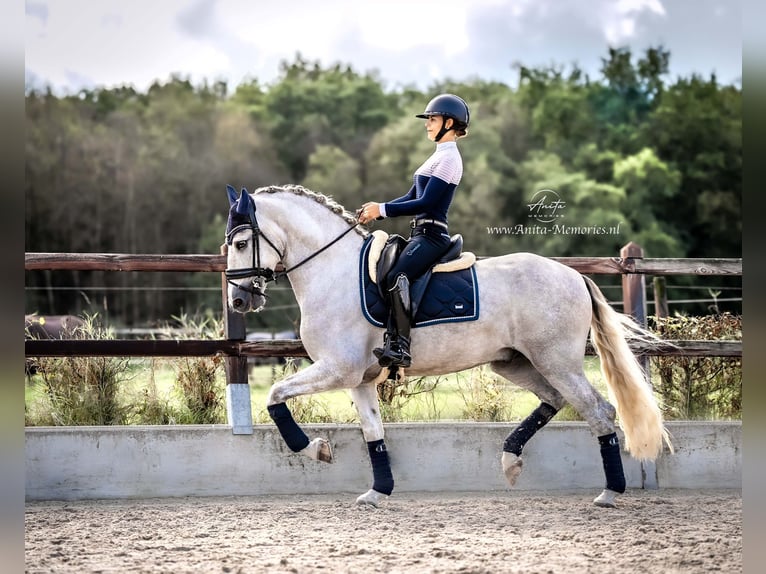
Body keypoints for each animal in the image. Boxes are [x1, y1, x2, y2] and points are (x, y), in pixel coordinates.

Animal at [224, 184, 672, 508]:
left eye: (242, 244)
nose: (239, 301)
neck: (333, 273)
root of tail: (574, 275)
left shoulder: (339, 368)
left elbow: (276, 396)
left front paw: (315, 449)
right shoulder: (360, 379)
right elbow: (374, 432)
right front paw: (378, 491)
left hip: (556, 361)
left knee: (598, 411)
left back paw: (610, 492)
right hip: (514, 363)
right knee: (555, 400)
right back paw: (510, 460)